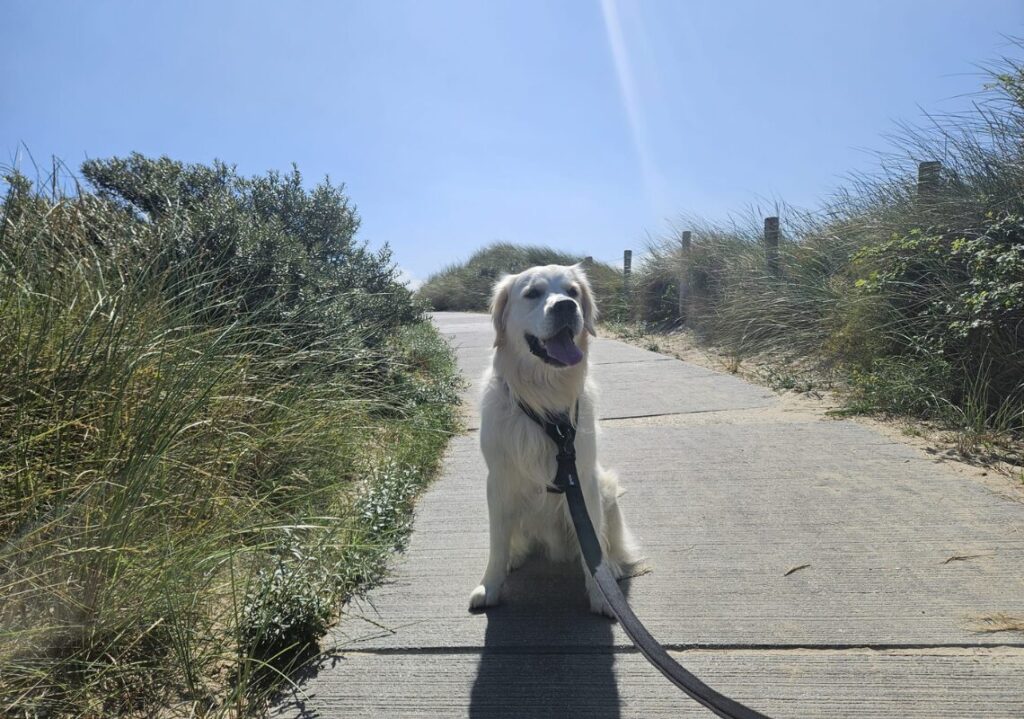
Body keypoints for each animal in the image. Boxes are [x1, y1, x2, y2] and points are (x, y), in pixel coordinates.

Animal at [468, 264, 638, 618]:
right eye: (532, 293)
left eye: (573, 291)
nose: (565, 307)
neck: (544, 397)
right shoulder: (499, 481)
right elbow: (497, 544)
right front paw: (489, 585)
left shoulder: (584, 480)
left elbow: (595, 551)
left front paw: (602, 595)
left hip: (606, 489)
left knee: (609, 543)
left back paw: (614, 569)